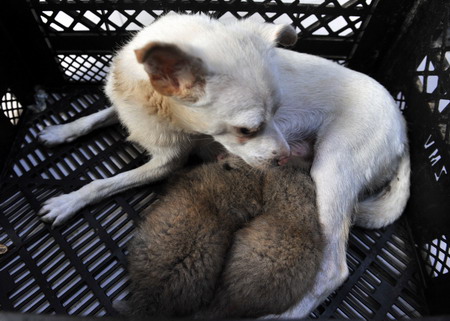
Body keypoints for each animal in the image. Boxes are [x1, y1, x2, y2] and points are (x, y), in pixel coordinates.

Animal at [38, 13, 412, 318]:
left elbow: (102, 183)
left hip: (331, 170)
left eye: (277, 113)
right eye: (246, 130)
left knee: (333, 270)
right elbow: (99, 115)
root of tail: (403, 130)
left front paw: (67, 201)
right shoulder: (128, 113)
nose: (284, 155)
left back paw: (278, 315)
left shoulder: (166, 164)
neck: (156, 106)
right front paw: (61, 130)